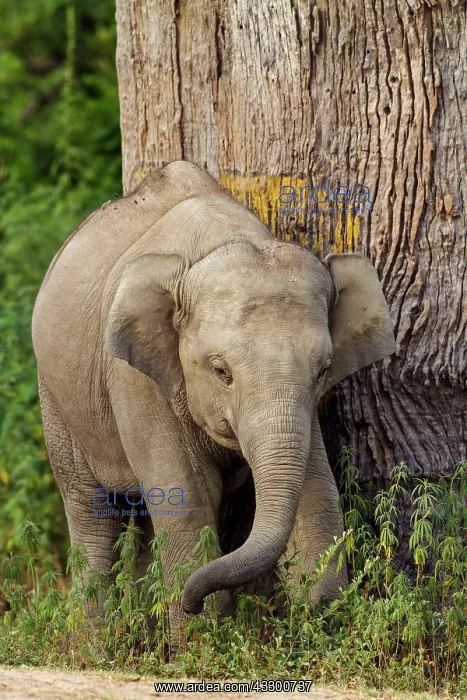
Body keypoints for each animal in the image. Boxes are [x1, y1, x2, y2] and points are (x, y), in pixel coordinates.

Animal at [32, 161, 395, 631]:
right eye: (221, 371)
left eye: (322, 371)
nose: (192, 601)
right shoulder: (135, 377)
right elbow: (185, 495)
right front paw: (201, 632)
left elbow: (317, 489)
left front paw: (321, 615)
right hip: (57, 399)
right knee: (90, 511)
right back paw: (95, 639)